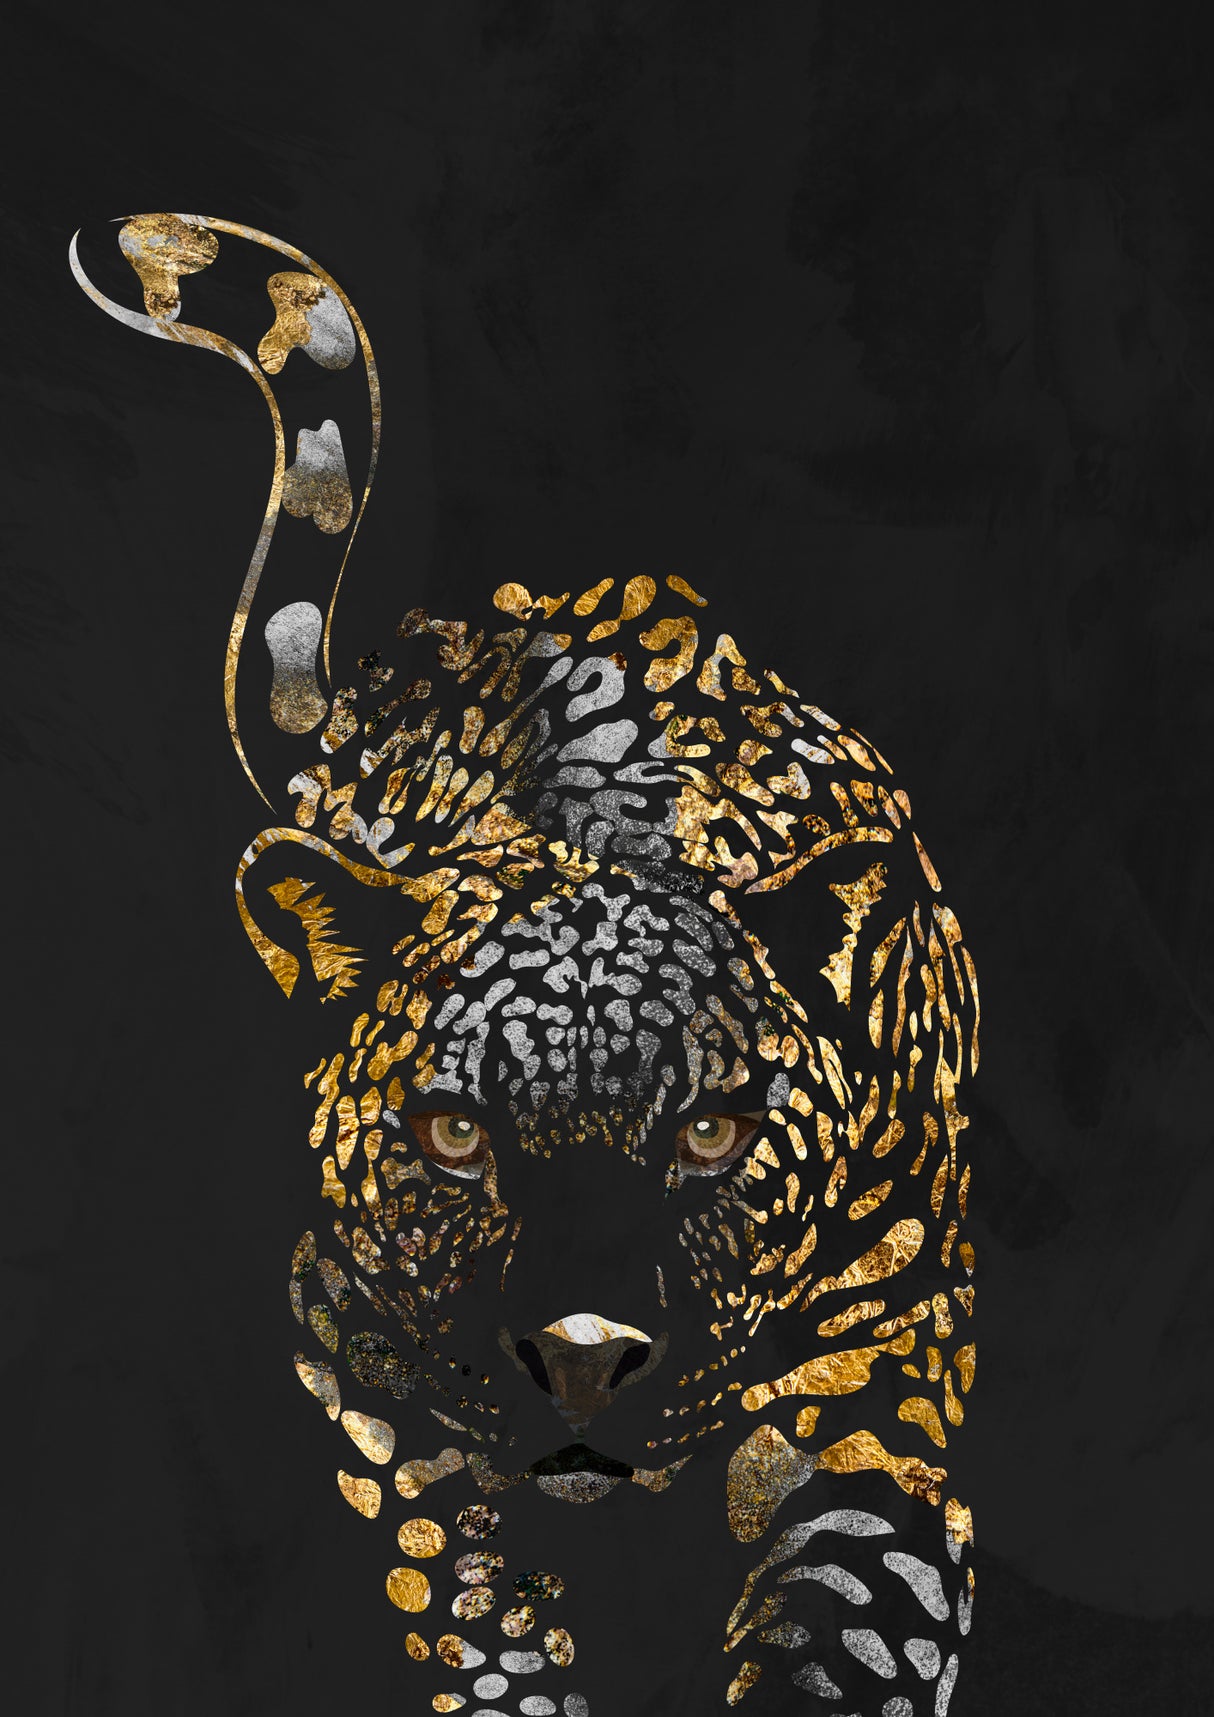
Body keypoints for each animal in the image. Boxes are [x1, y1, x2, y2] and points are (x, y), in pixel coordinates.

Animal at [72, 212, 980, 1717]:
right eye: (452, 1134)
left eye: (713, 1134)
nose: (583, 1356)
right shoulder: (371, 1375)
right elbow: (477, 1610)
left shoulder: (882, 1372)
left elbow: (851, 1622)